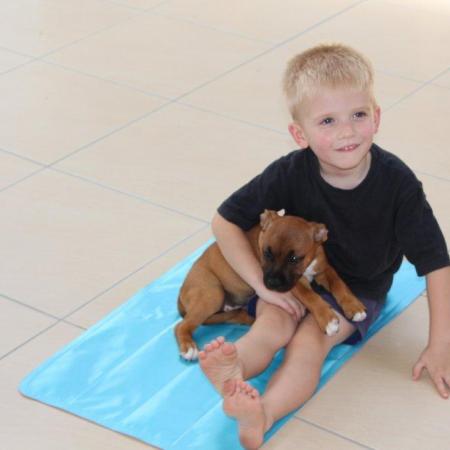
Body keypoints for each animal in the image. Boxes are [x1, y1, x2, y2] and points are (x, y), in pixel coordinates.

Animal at [175, 210, 367, 360]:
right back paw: (189, 347)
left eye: (294, 258)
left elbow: (339, 284)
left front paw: (354, 306)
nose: (271, 284)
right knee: (181, 325)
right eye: (266, 253)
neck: (307, 266)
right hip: (212, 294)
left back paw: (248, 317)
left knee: (225, 316)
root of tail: (181, 292)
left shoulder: (324, 270)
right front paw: (327, 318)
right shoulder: (296, 285)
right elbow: (310, 296)